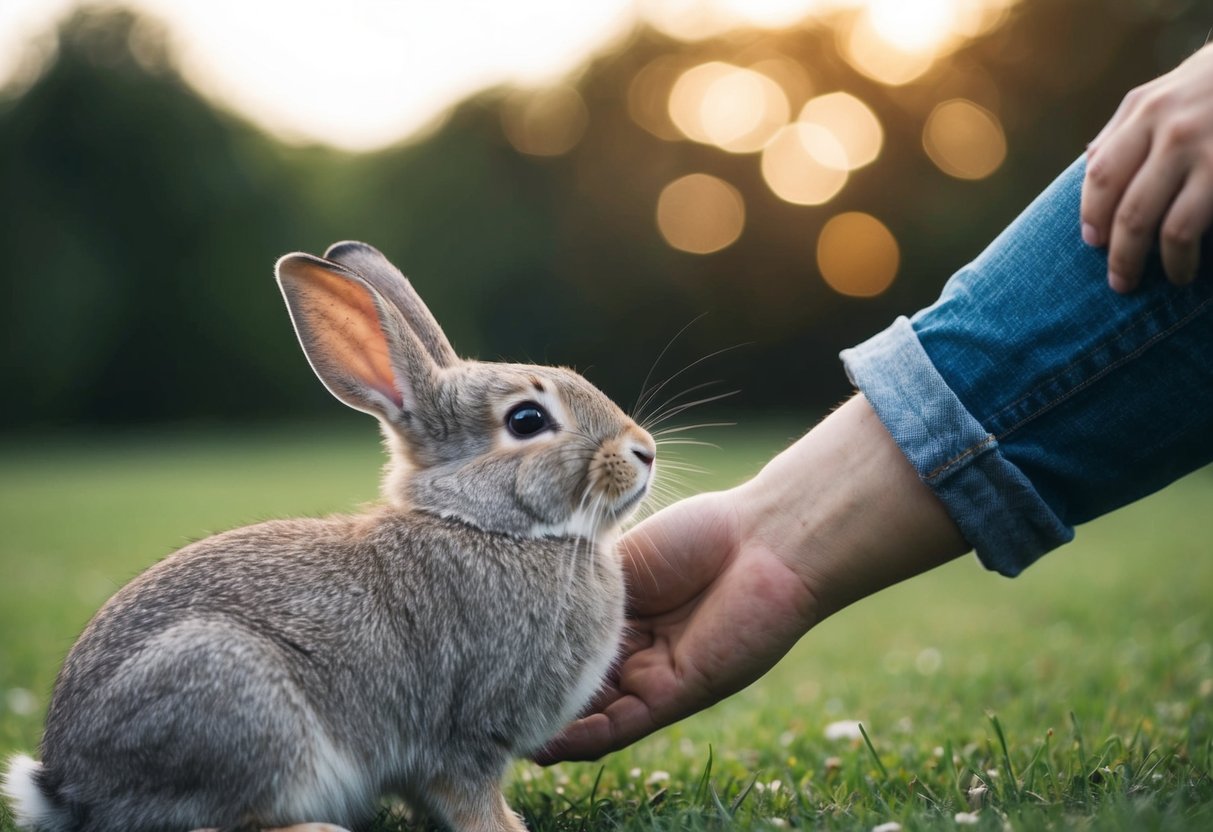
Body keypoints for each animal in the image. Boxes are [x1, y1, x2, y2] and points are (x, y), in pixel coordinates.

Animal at [1, 241, 657, 832]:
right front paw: (507, 829)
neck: (482, 522)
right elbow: (470, 799)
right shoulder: (464, 734)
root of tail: (67, 787)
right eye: (527, 420)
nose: (644, 451)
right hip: (239, 702)